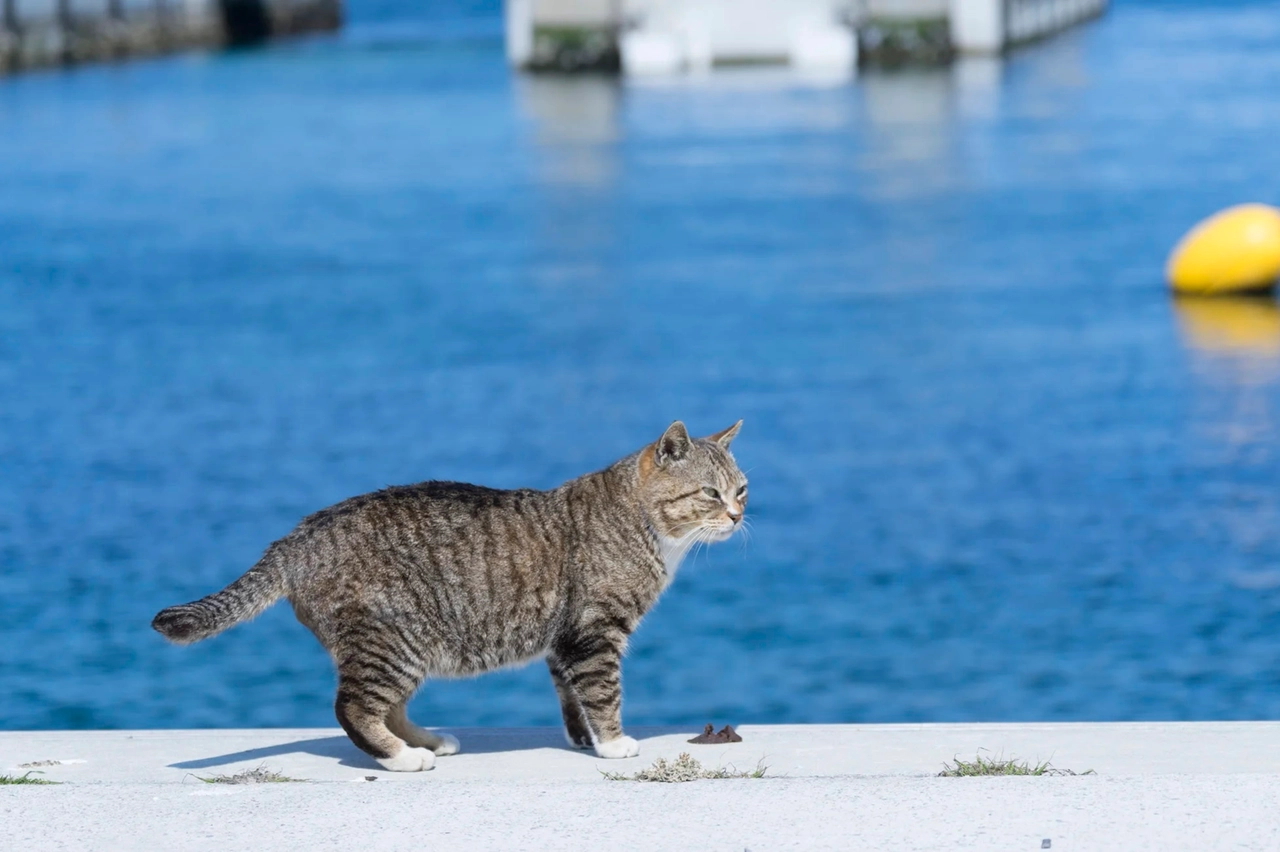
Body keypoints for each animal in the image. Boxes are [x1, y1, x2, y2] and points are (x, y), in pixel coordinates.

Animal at [152, 419, 747, 767]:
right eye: (709, 493)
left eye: (741, 489)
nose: (739, 516)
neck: (644, 524)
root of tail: (297, 537)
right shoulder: (595, 632)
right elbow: (603, 692)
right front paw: (614, 742)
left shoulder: (564, 640)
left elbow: (570, 695)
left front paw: (584, 739)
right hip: (393, 639)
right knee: (353, 706)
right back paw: (400, 756)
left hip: (403, 646)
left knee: (386, 704)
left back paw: (426, 740)